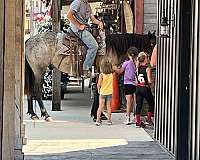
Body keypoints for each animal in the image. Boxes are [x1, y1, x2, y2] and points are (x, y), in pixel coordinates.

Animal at [25, 28, 155, 121]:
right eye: (153, 44)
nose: (152, 63)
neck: (111, 48)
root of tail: (29, 40)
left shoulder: (98, 74)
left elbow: (97, 92)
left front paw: (97, 114)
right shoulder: (101, 72)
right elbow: (98, 92)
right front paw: (98, 115)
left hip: (34, 71)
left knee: (30, 90)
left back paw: (33, 113)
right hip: (39, 70)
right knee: (36, 90)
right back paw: (46, 115)